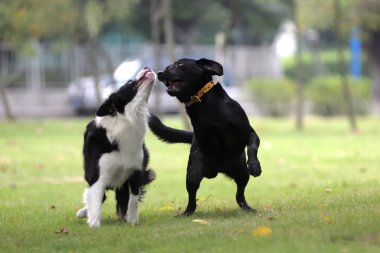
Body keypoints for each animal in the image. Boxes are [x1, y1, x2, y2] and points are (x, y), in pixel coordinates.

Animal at [77, 67, 156, 227]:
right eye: (130, 82)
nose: (147, 67)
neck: (126, 122)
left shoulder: (136, 171)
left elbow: (133, 199)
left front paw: (132, 220)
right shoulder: (97, 176)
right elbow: (96, 200)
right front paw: (94, 224)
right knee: (98, 196)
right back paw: (84, 212)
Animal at [148, 57, 262, 215]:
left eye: (179, 64)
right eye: (167, 67)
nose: (159, 73)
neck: (206, 105)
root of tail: (217, 170)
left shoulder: (249, 132)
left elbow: (252, 145)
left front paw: (255, 165)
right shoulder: (201, 136)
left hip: (242, 173)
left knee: (240, 195)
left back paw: (248, 208)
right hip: (192, 176)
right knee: (192, 198)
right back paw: (186, 213)